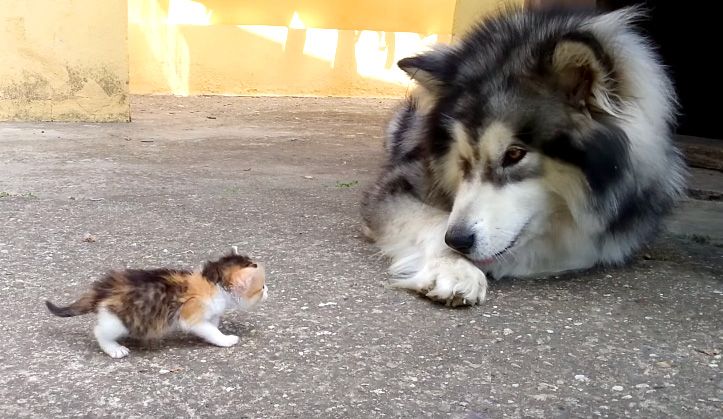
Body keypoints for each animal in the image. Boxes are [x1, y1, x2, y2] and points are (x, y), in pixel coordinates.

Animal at [45, 248, 268, 360]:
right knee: (100, 330)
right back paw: (113, 348)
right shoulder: (191, 314)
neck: (213, 283)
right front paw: (225, 339)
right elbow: (208, 329)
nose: (268, 290)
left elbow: (213, 322)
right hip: (118, 319)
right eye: (261, 287)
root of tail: (104, 288)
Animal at [362, 6, 692, 306]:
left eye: (514, 154)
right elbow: (433, 221)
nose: (458, 240)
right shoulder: (398, 183)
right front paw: (455, 270)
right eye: (462, 159)